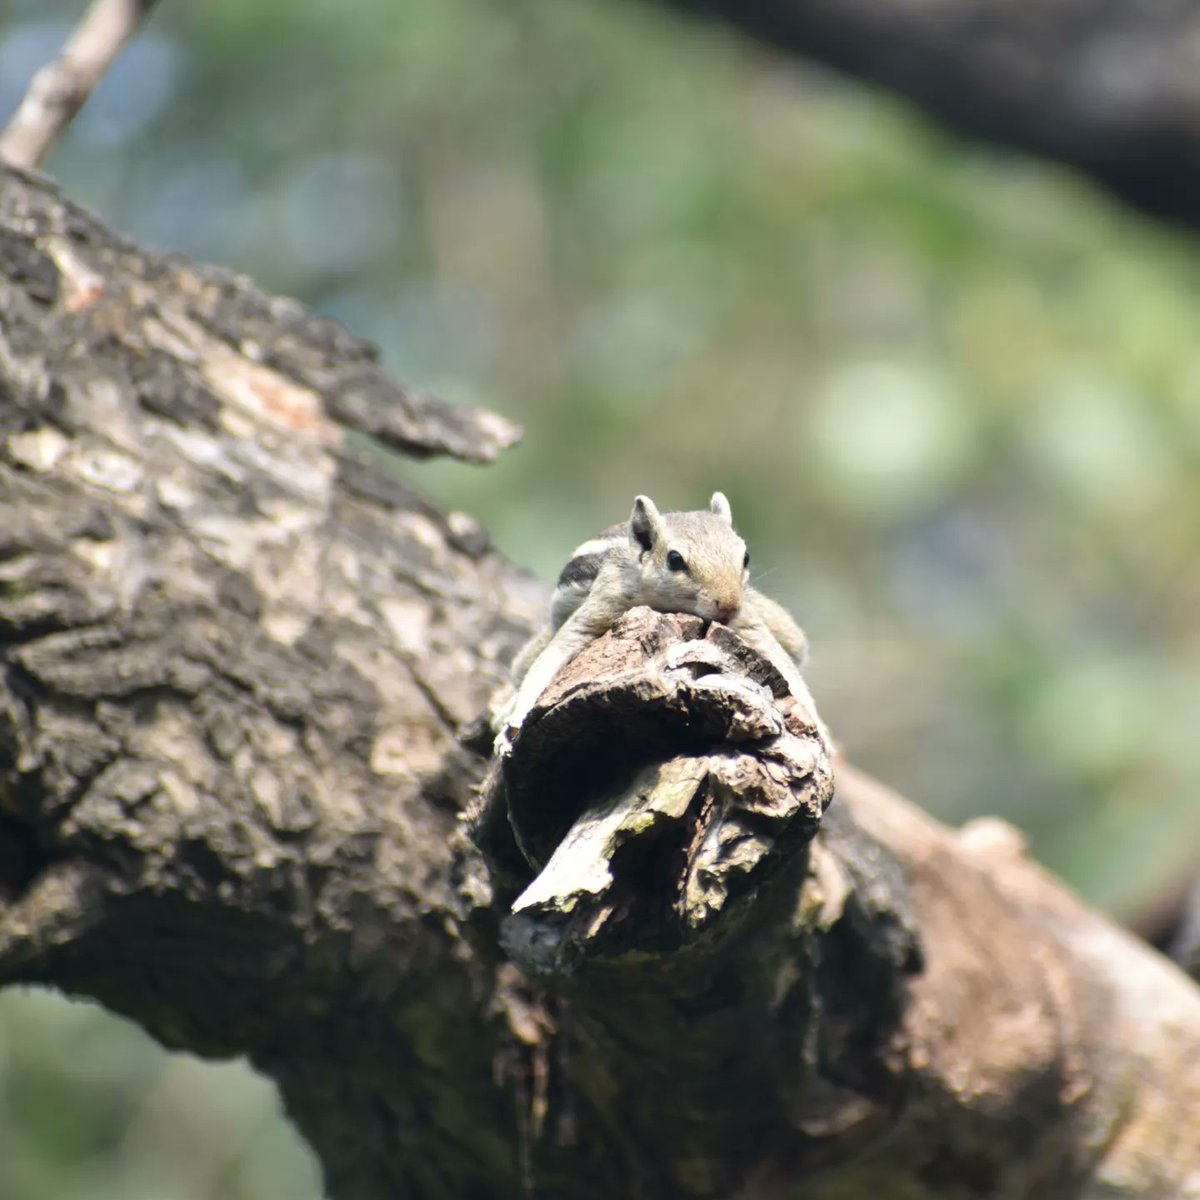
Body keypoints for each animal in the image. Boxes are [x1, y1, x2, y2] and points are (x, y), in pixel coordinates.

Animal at [493, 491, 811, 753]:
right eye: (674, 560)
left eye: (745, 556)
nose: (730, 604)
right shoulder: (606, 599)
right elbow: (555, 652)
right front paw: (515, 722)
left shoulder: (747, 621)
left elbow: (780, 660)